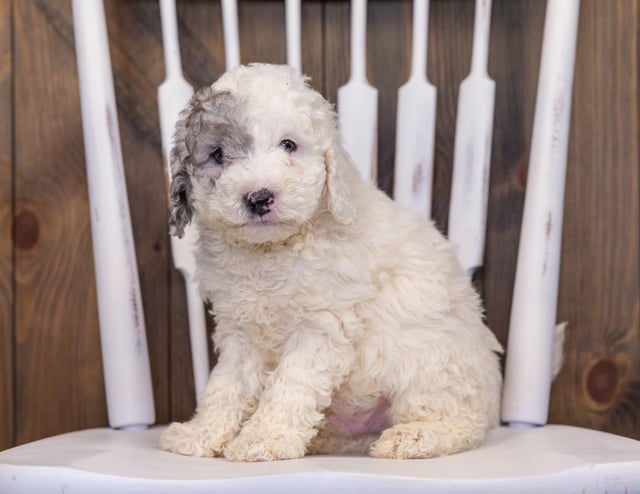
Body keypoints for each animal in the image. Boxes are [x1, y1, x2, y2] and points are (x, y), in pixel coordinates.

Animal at [159, 63, 500, 462]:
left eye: (289, 145)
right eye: (217, 154)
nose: (259, 198)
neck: (271, 250)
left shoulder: (321, 326)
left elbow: (291, 384)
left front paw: (266, 438)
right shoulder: (240, 331)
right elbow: (227, 385)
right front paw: (202, 433)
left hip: (430, 367)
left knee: (462, 424)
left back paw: (414, 437)